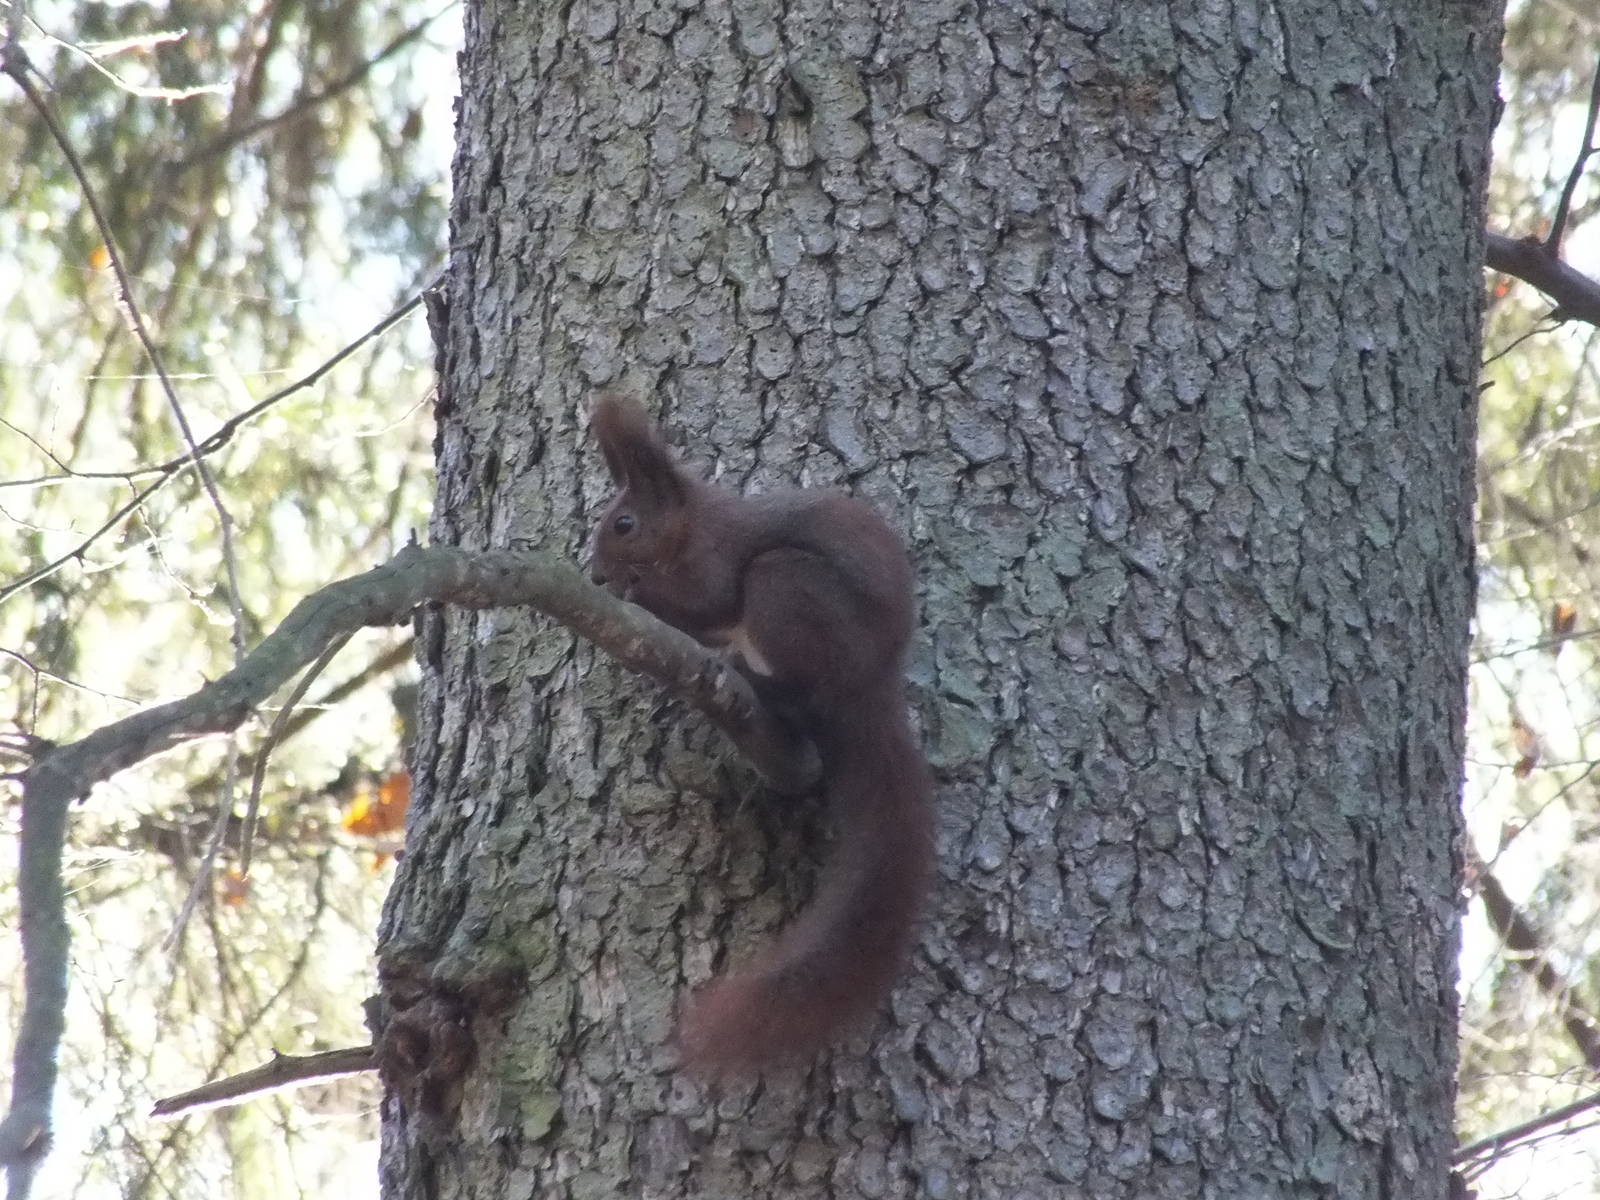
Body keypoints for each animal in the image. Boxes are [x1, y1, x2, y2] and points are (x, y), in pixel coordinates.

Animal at [587, 394, 935, 1075]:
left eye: (623, 524)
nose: (592, 578)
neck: (692, 524)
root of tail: (873, 685)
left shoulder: (717, 563)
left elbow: (706, 599)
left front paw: (636, 593)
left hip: (787, 588)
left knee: (803, 686)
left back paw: (760, 680)